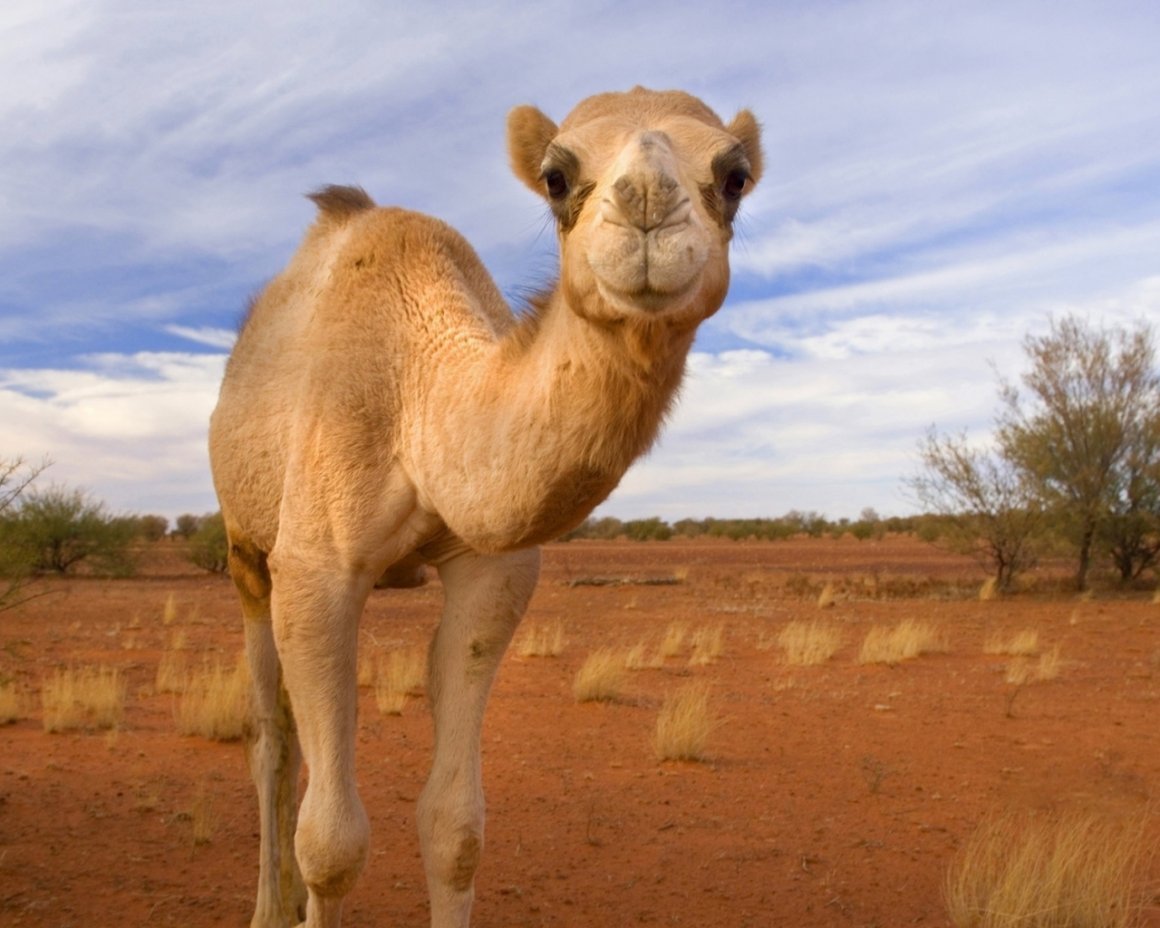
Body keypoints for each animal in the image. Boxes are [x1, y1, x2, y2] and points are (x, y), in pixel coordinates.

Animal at [208, 86, 762, 928]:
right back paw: (271, 907)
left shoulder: (491, 572)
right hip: (245, 549)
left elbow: (454, 827)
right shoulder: (314, 570)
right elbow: (332, 843)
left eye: (734, 176)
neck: (418, 398)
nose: (646, 206)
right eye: (556, 177)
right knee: (271, 740)